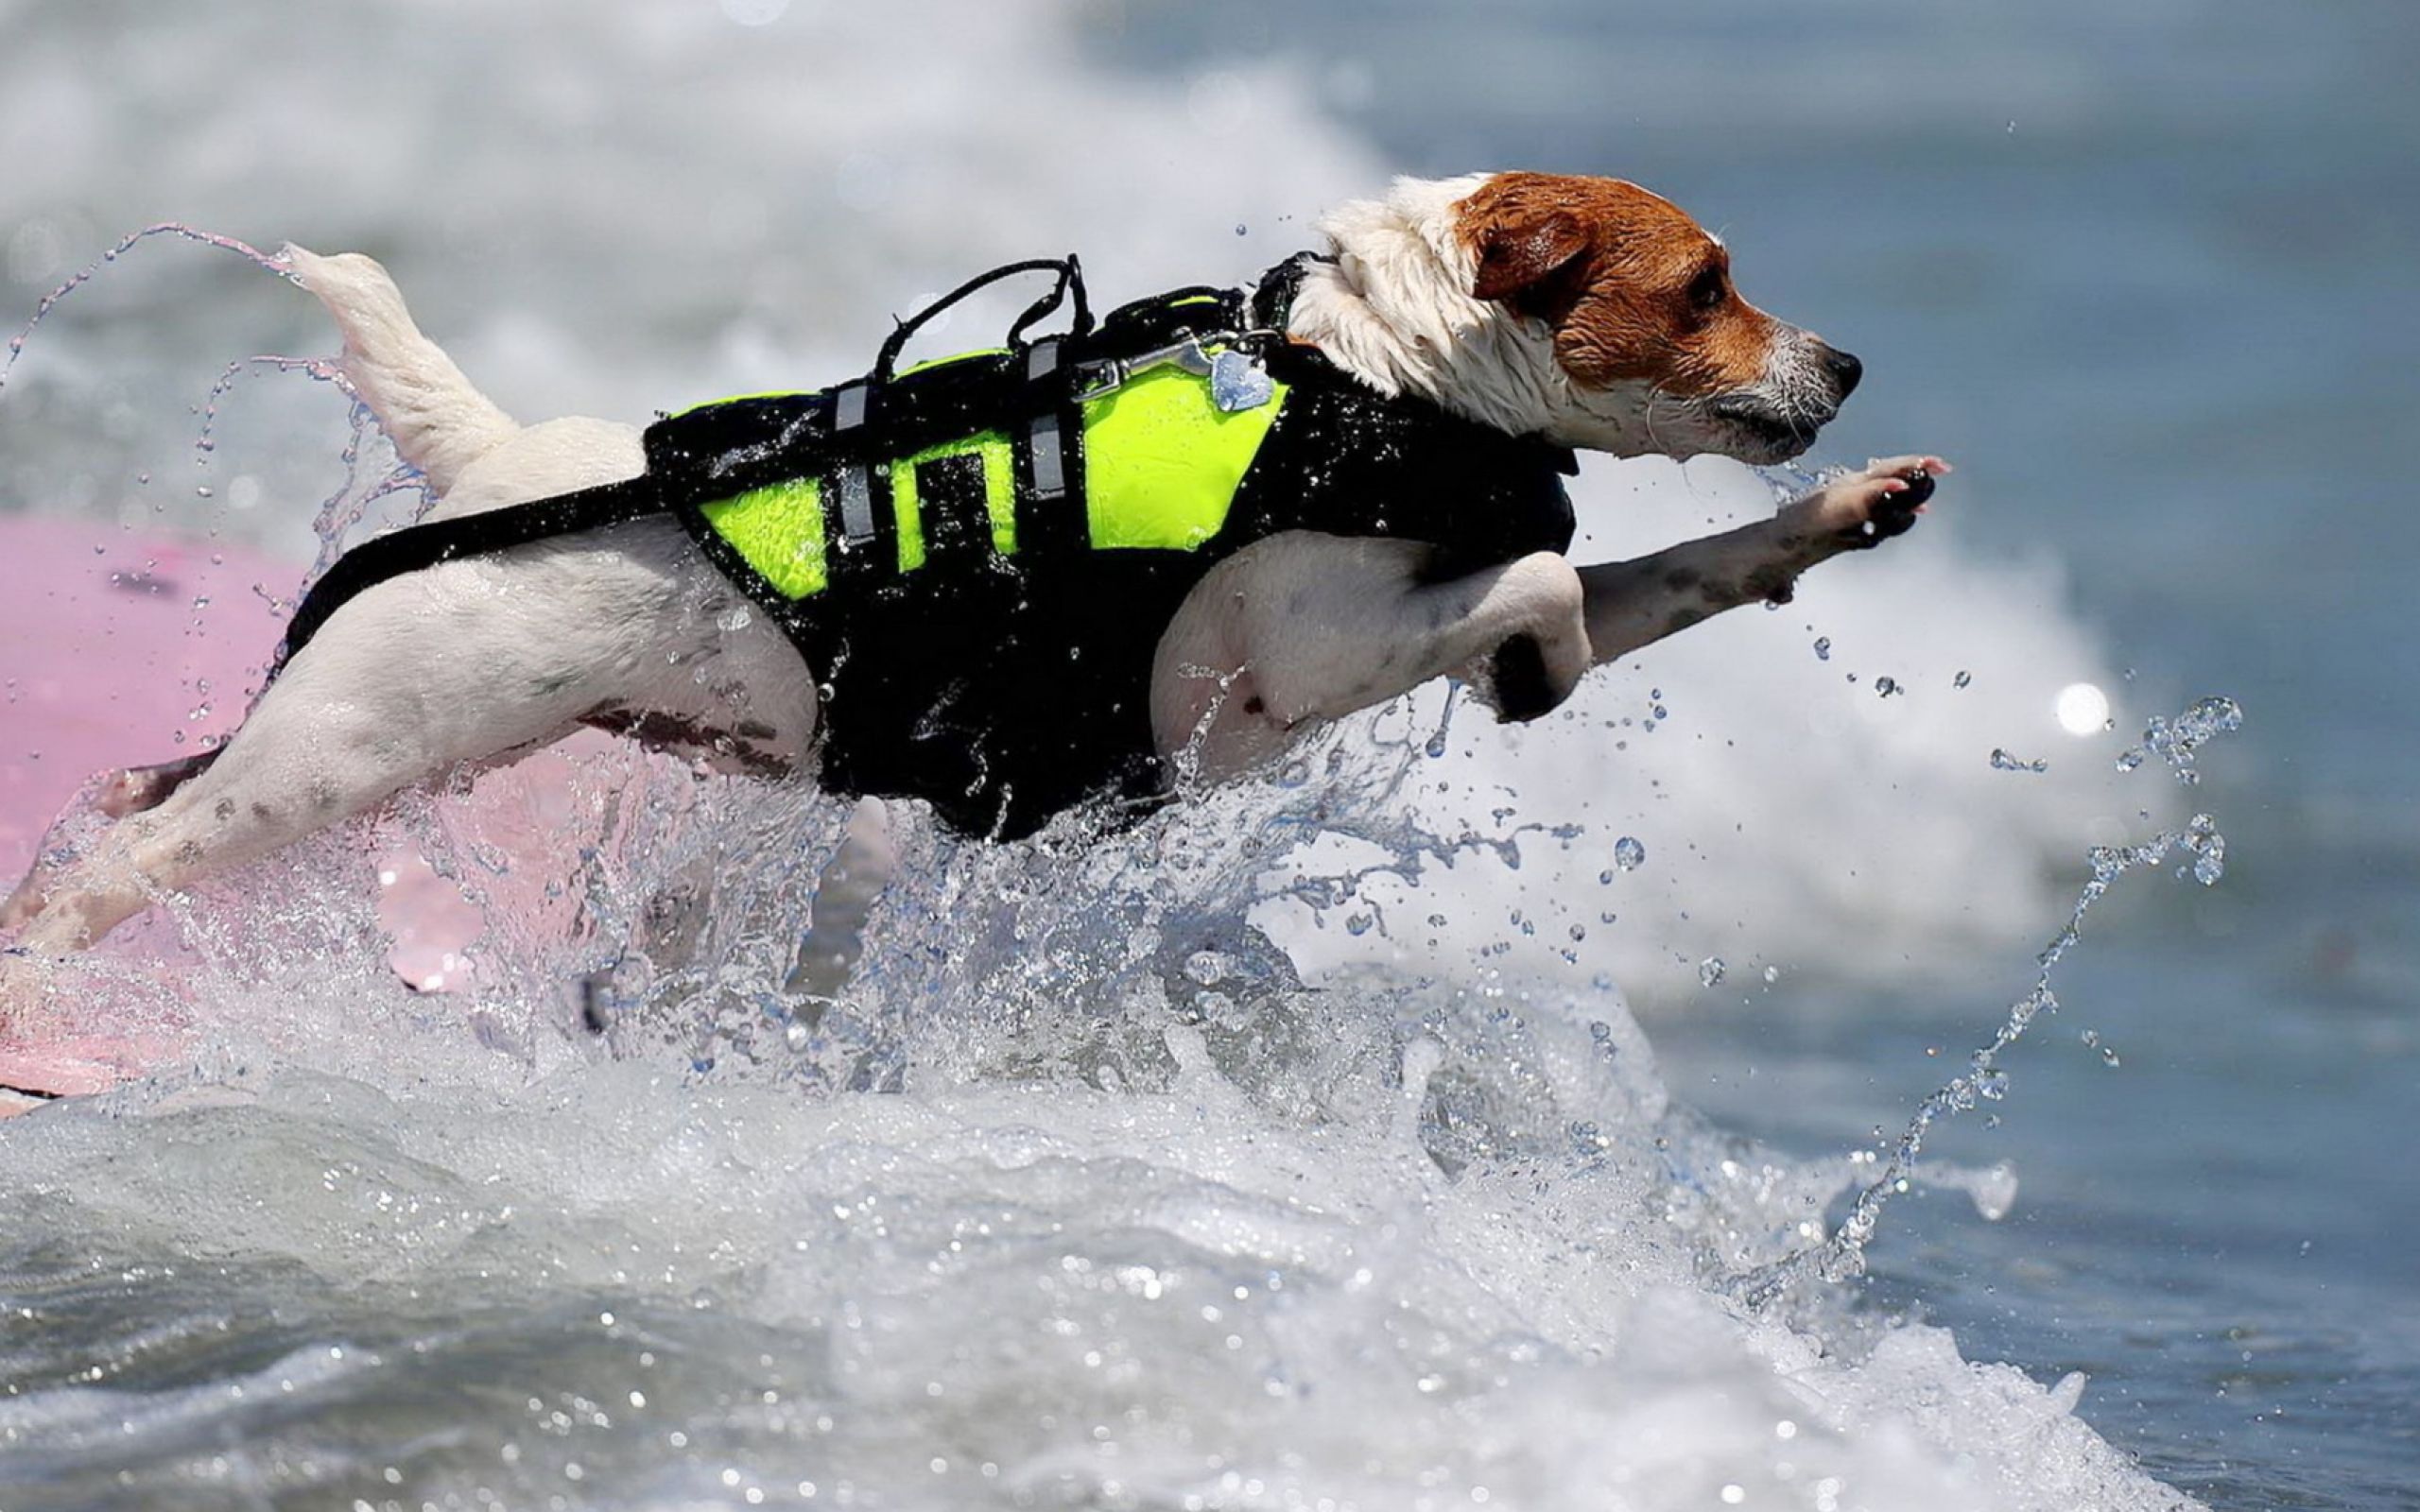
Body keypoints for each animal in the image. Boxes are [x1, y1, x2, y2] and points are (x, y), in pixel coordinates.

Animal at [0, 174, 1936, 1098]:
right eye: (1707, 285)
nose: (1851, 366)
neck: (1368, 386)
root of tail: (497, 459)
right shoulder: (1296, 665)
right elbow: (1542, 604)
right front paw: (1545, 666)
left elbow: (1686, 568)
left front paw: (1838, 519)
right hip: (356, 751)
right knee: (133, 859)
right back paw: (37, 986)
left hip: (341, 735)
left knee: (129, 796)